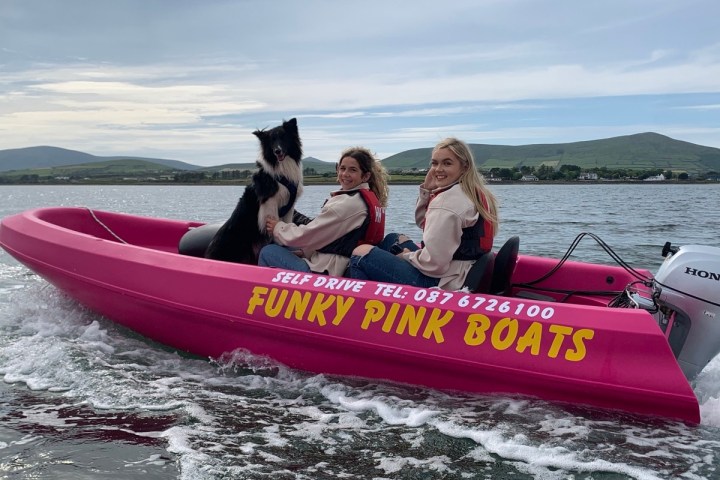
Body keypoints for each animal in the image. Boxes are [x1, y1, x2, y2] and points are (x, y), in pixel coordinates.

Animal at [204, 118, 302, 264]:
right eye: (271, 141)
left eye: (284, 137)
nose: (277, 151)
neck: (282, 170)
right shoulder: (270, 205)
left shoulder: (289, 207)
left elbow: (286, 224)